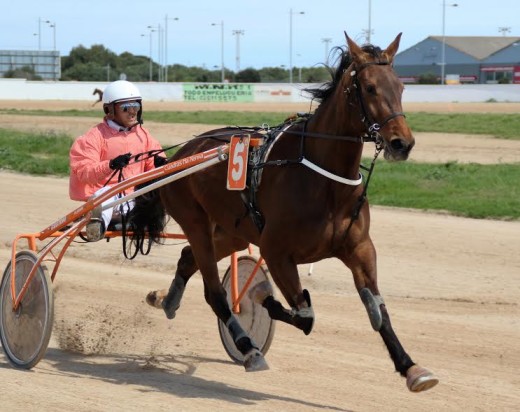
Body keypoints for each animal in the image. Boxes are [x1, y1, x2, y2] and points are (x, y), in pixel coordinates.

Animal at [128, 33, 436, 392]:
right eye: (371, 87)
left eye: (400, 87)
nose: (402, 143)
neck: (323, 178)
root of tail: (178, 156)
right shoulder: (276, 251)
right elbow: (304, 315)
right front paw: (262, 297)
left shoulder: (360, 248)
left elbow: (377, 310)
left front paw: (411, 367)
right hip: (195, 221)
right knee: (214, 292)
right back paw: (248, 348)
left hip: (233, 231)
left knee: (188, 257)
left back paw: (166, 300)